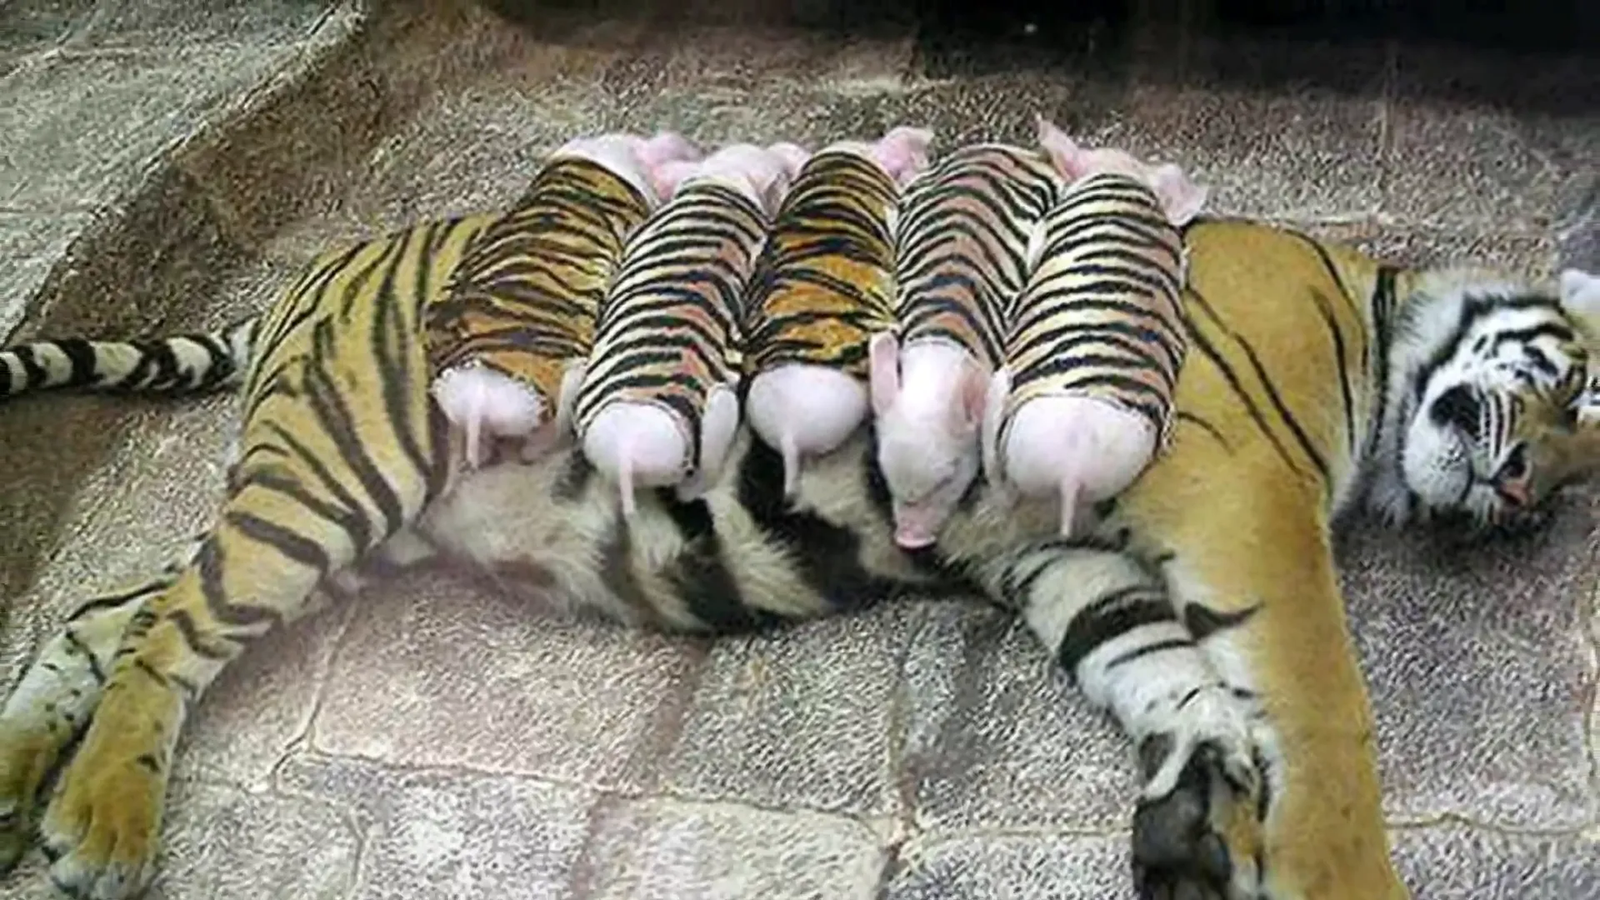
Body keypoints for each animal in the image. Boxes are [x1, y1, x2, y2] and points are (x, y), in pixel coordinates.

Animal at [2, 212, 1599, 900]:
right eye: (1583, 399)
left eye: (1578, 466)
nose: (1527, 494)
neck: (1379, 325)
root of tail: (320, 272)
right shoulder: (1239, 492)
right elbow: (1320, 697)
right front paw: (1325, 866)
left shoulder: (1069, 561)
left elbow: (1170, 680)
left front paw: (1200, 822)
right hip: (343, 469)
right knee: (170, 634)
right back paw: (100, 830)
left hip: (347, 521)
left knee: (112, 606)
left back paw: (27, 780)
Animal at [868, 140, 1068, 549]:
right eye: (884, 475)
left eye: (949, 475)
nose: (909, 541)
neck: (938, 351)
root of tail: (997, 148)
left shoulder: (993, 381)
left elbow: (992, 447)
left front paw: (995, 510)